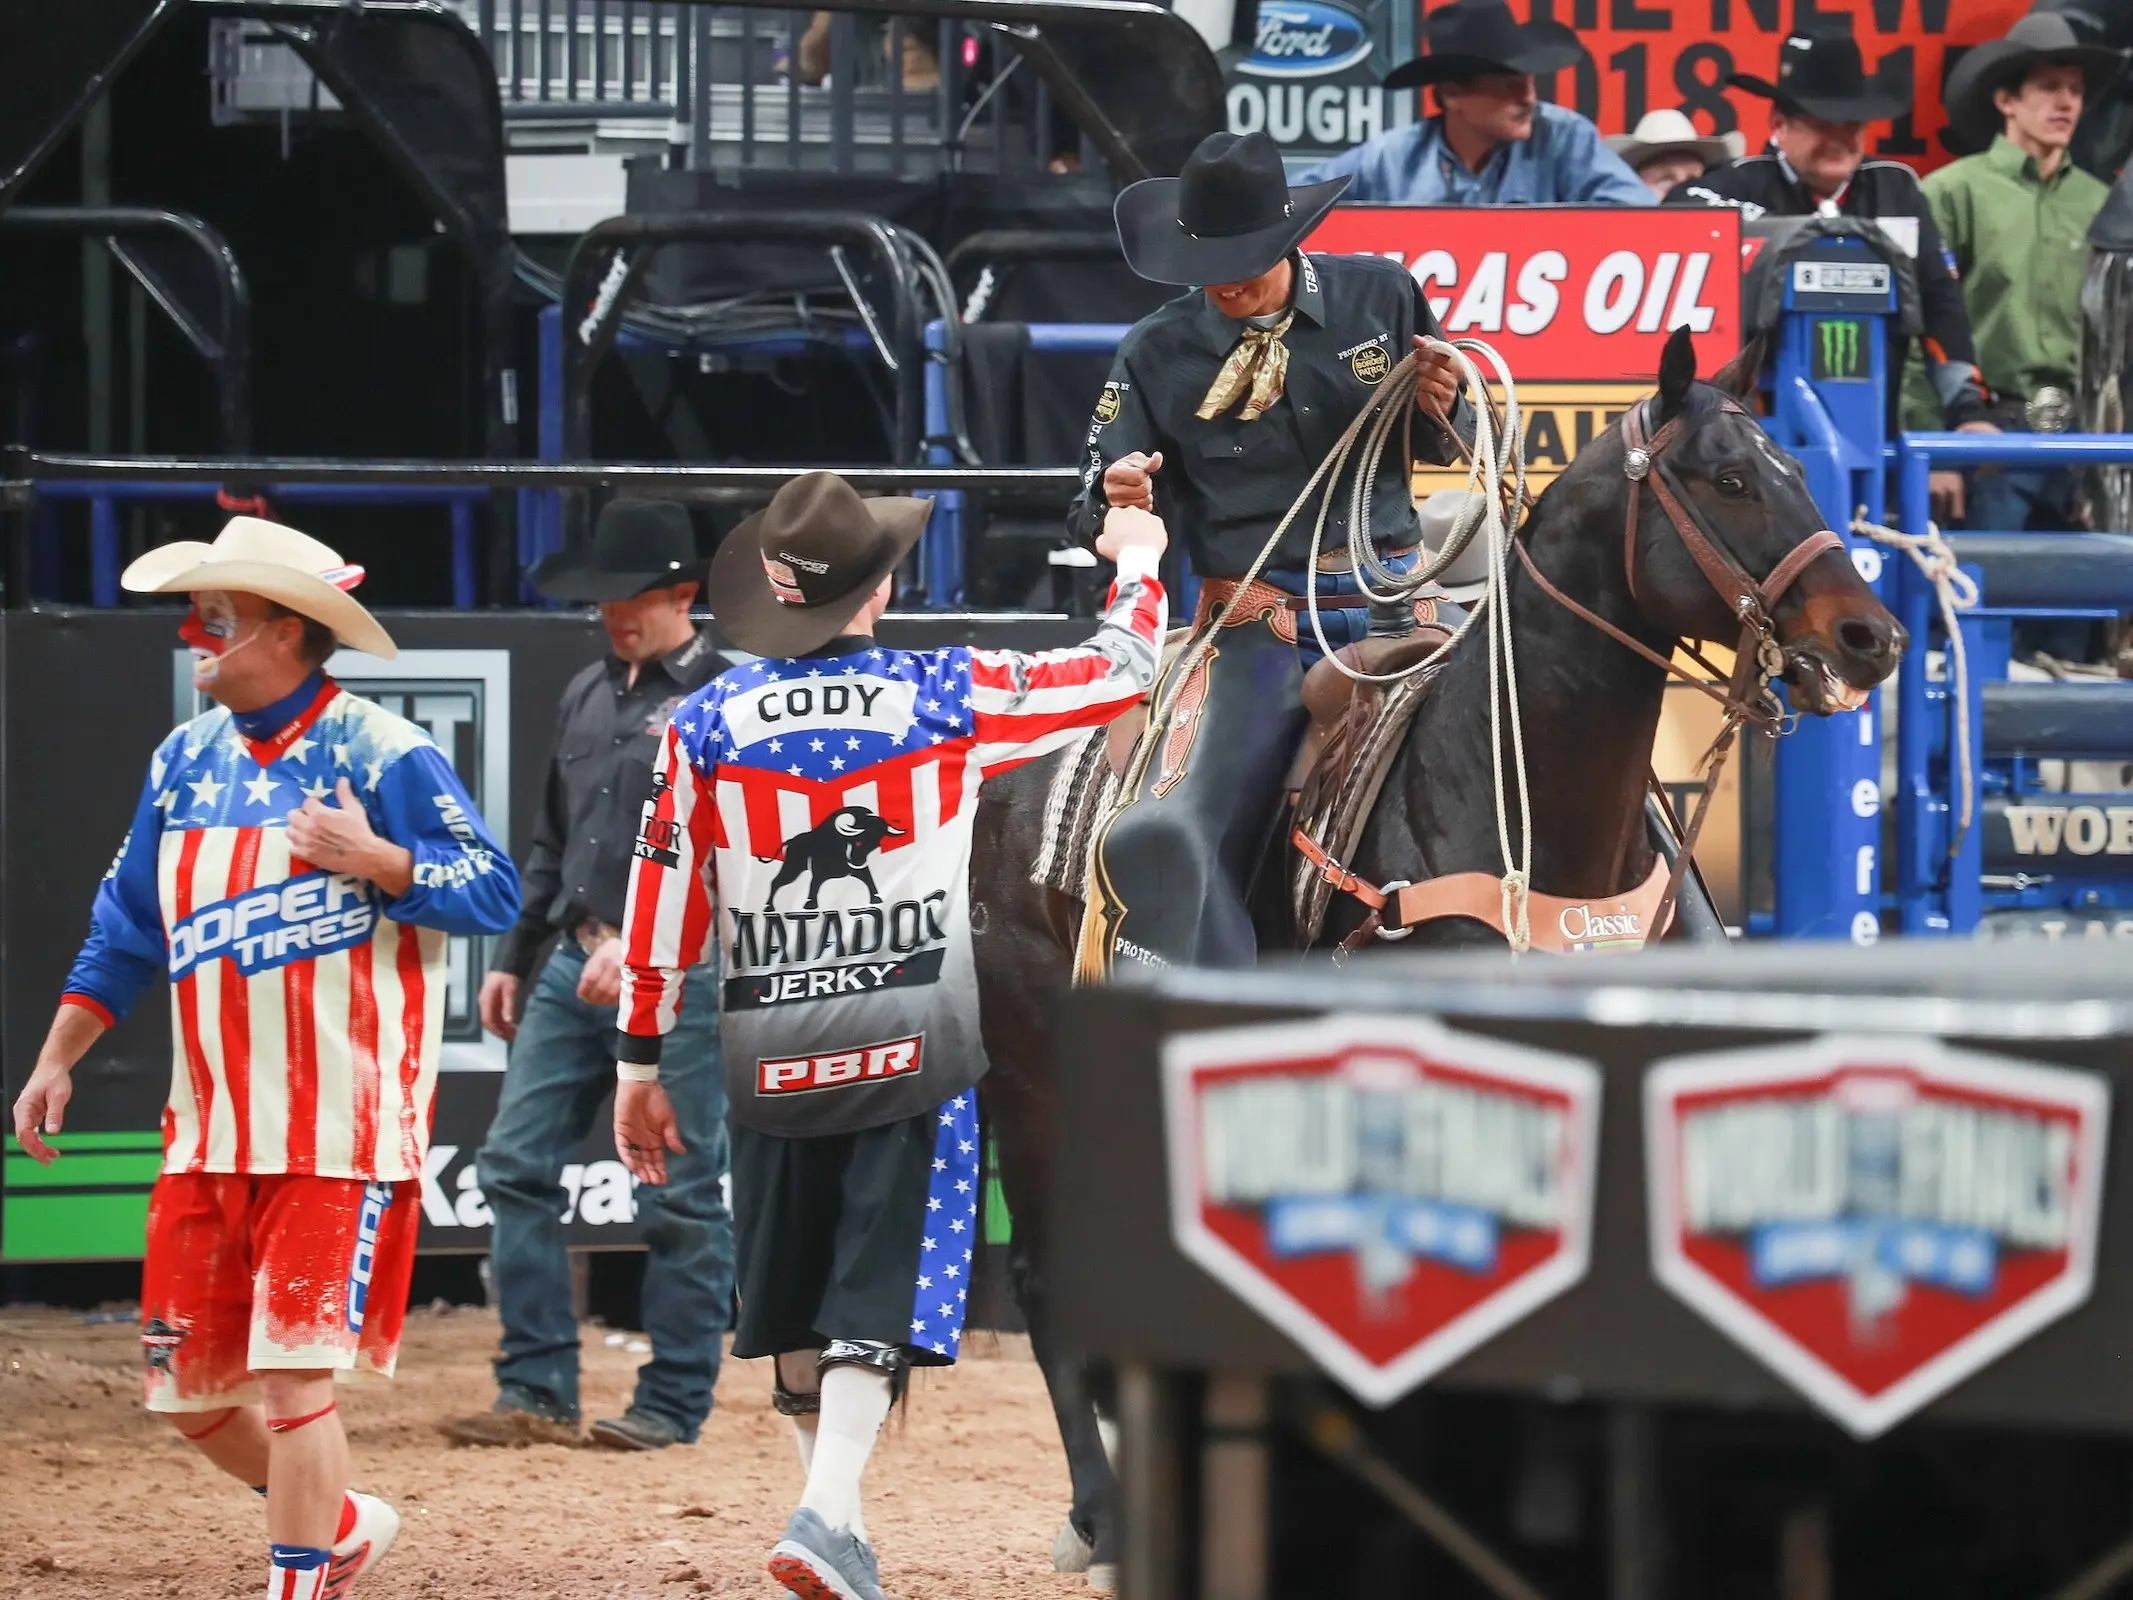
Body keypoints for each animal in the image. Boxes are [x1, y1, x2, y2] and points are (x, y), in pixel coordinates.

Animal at [964, 332, 1902, 1587]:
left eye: (1796, 465)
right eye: (1727, 477)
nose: (1870, 636)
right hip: (1029, 1074)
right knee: (1043, 1277)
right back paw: (1105, 1520)